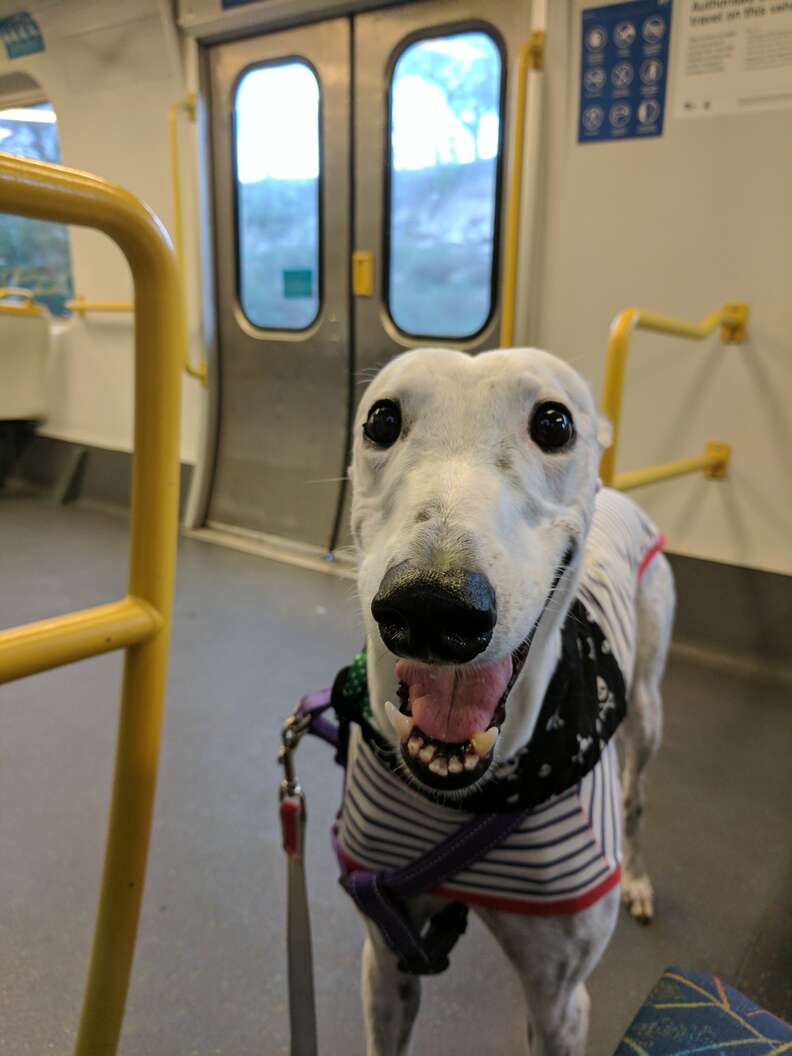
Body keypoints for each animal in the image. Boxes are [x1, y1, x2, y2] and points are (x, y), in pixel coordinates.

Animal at [342, 348, 675, 1056]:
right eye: (381, 419)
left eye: (554, 422)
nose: (431, 606)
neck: (474, 792)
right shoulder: (386, 955)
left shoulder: (560, 1000)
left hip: (647, 709)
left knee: (635, 799)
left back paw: (637, 878)